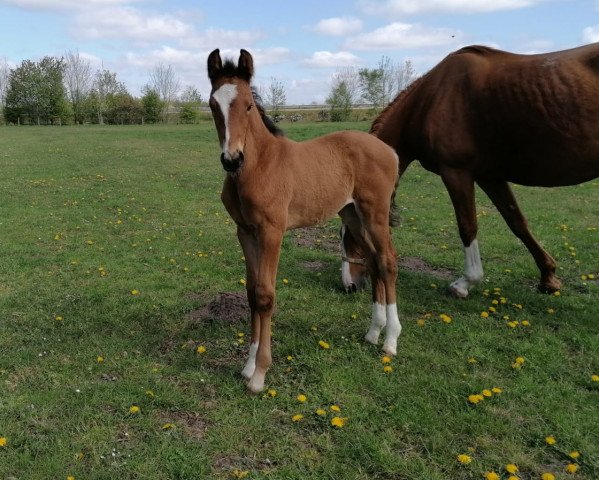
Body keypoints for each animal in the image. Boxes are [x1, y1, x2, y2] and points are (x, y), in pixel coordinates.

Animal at [207, 48, 404, 394]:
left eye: (247, 104)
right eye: (212, 105)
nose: (231, 159)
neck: (259, 166)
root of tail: (389, 151)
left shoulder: (272, 232)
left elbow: (265, 295)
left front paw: (259, 374)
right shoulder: (245, 232)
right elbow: (251, 292)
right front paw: (247, 366)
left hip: (375, 213)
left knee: (388, 261)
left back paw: (390, 340)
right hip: (352, 214)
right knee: (373, 260)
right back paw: (373, 333)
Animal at [342, 42, 599, 296]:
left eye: (351, 231)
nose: (349, 285)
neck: (431, 100)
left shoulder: (456, 172)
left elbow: (468, 226)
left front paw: (466, 283)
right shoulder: (490, 177)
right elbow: (517, 222)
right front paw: (548, 276)